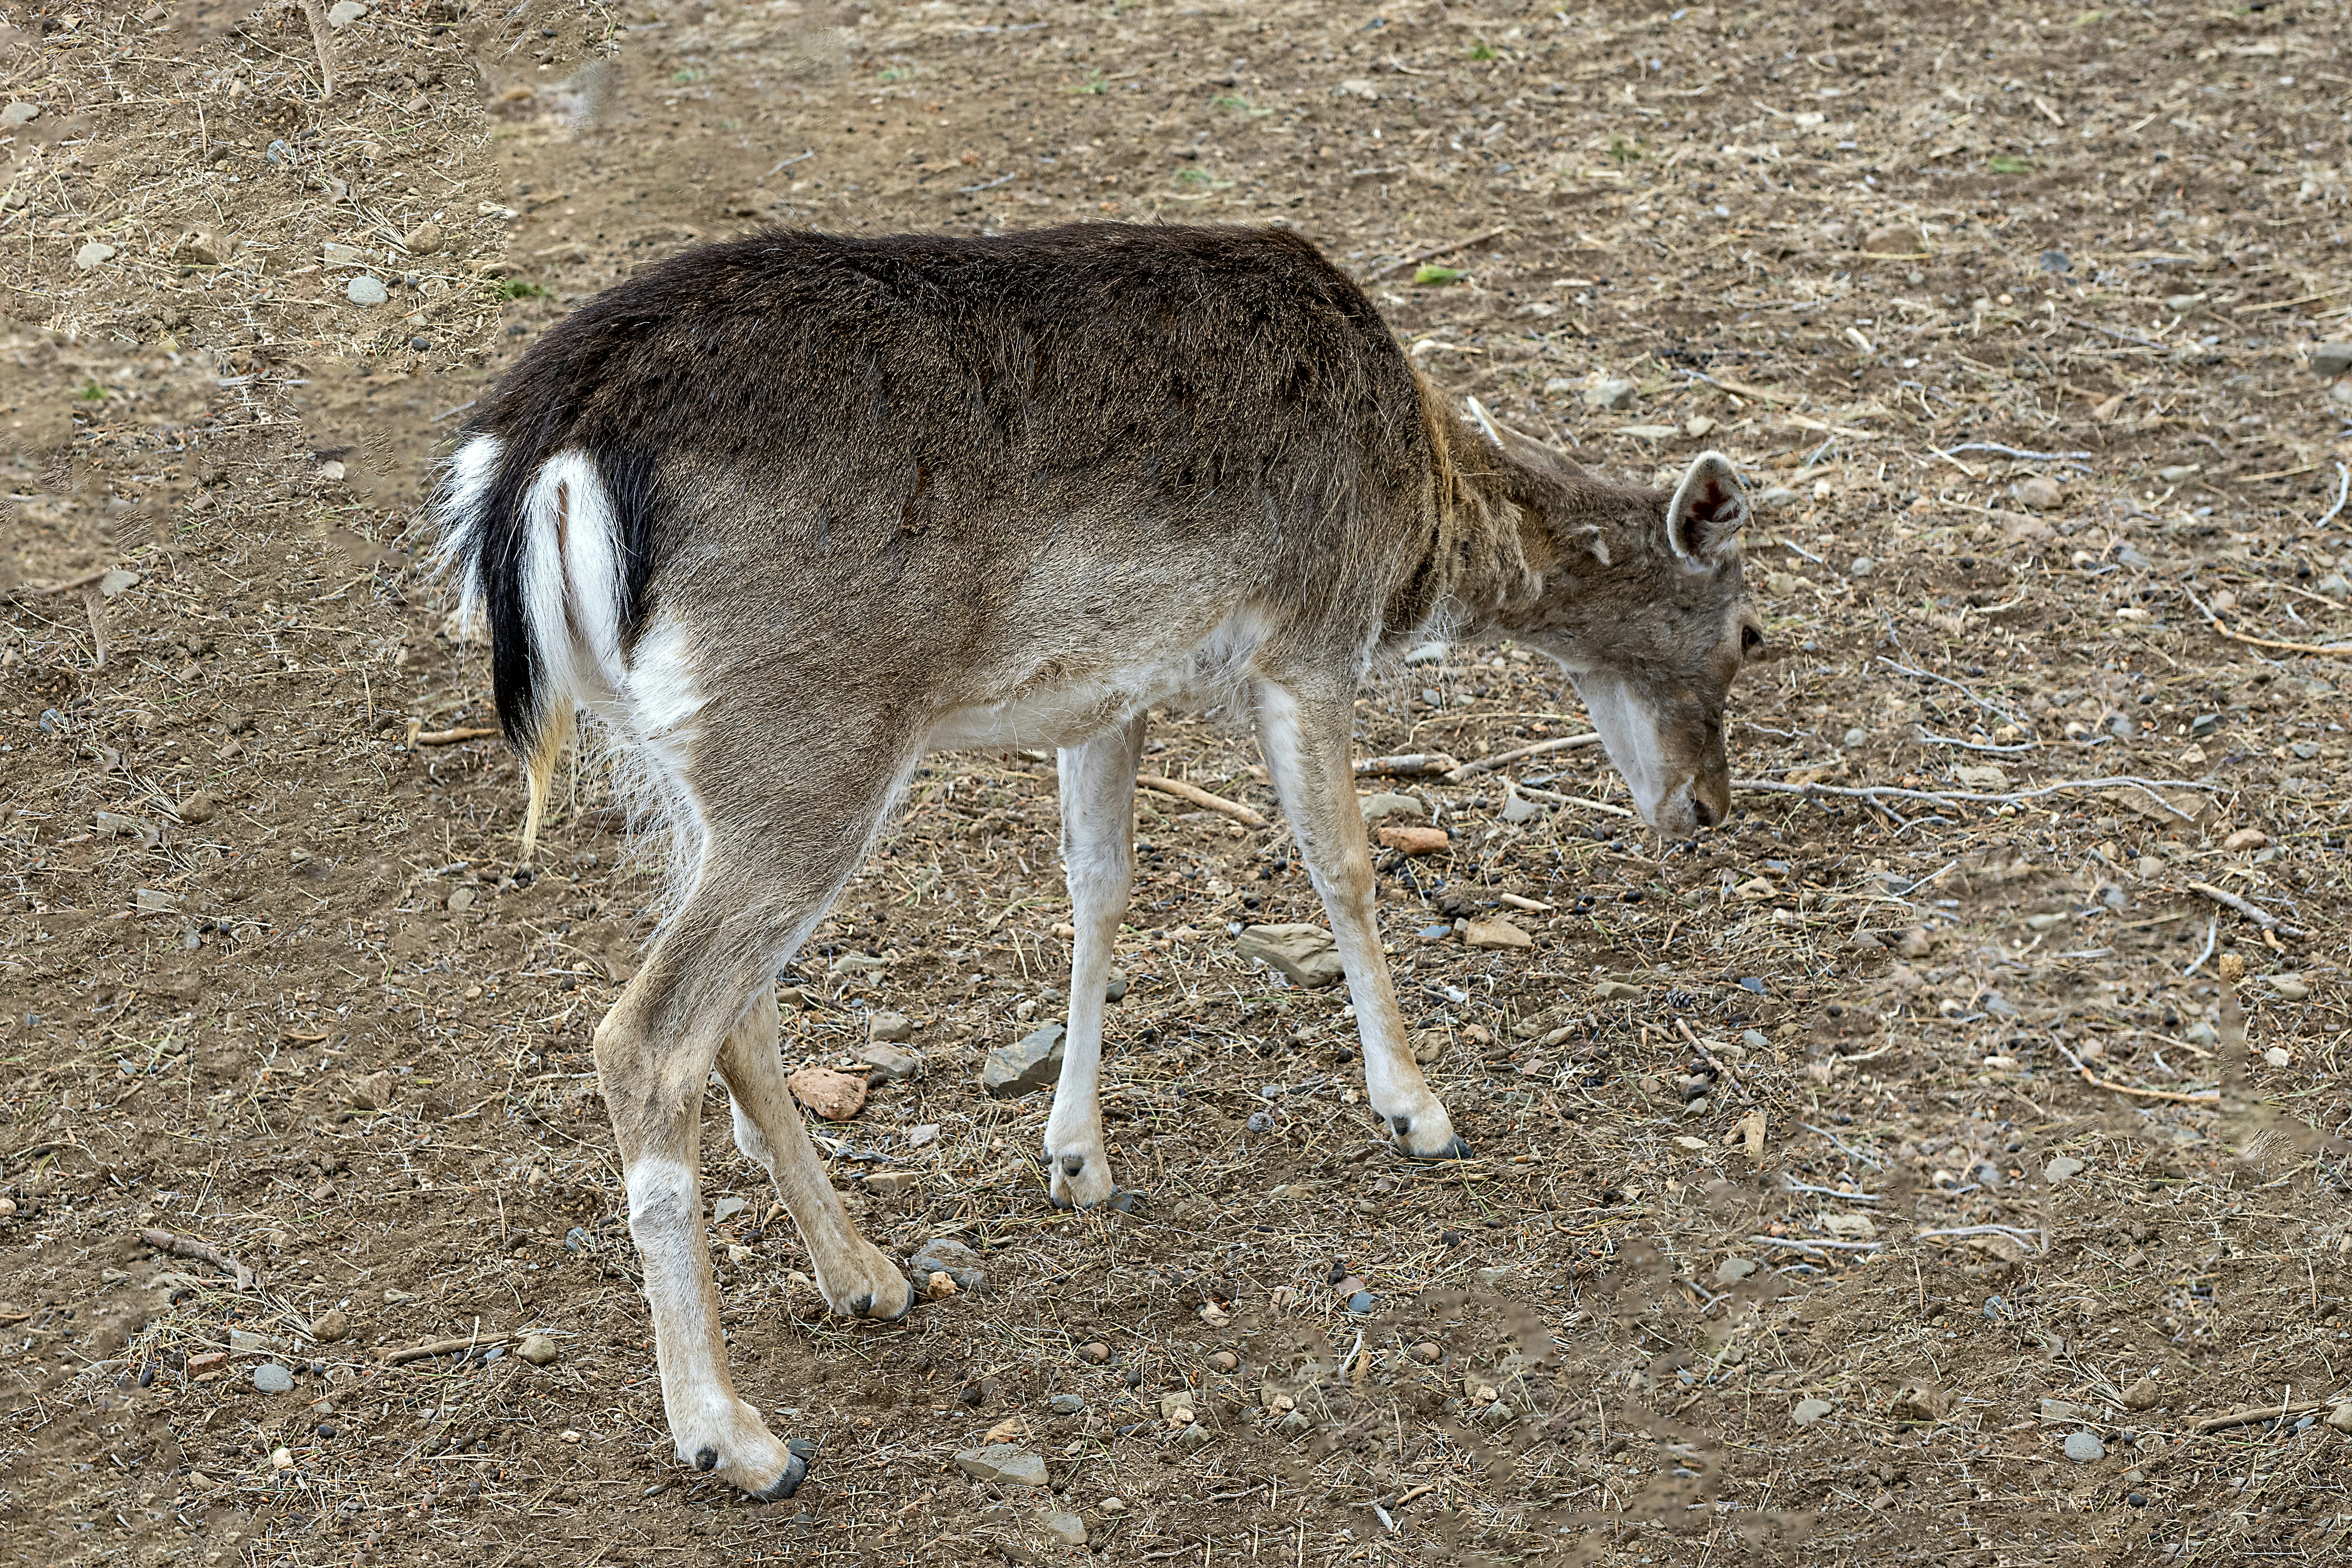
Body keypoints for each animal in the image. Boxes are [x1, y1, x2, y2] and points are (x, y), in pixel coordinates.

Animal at [435, 221, 1759, 1500]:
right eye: (1751, 633)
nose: (1705, 804)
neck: (1418, 515)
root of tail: (534, 462)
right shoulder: (1308, 636)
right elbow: (1342, 863)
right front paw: (1416, 1108)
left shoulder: (1109, 691)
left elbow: (1099, 882)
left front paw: (1076, 1154)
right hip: (807, 743)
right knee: (647, 1034)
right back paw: (733, 1437)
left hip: (693, 769)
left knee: (736, 1013)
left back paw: (865, 1273)